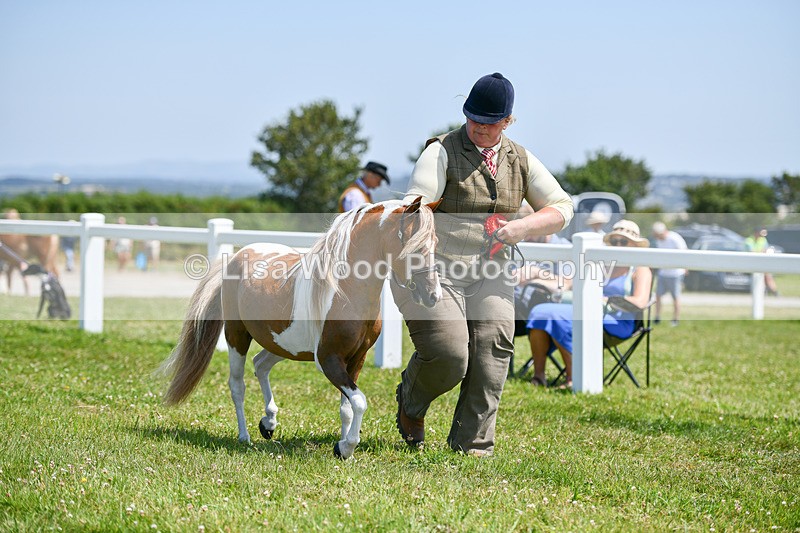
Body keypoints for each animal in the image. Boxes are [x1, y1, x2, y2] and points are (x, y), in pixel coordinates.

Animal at [160, 197, 442, 459]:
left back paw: (269, 424)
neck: (345, 291)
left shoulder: (356, 359)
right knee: (237, 385)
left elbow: (348, 407)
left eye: (435, 244)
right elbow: (360, 402)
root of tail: (237, 256)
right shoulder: (328, 360)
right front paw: (346, 447)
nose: (433, 296)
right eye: (414, 247)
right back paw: (244, 436)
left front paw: (343, 447)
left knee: (260, 364)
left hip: (282, 345)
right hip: (236, 336)